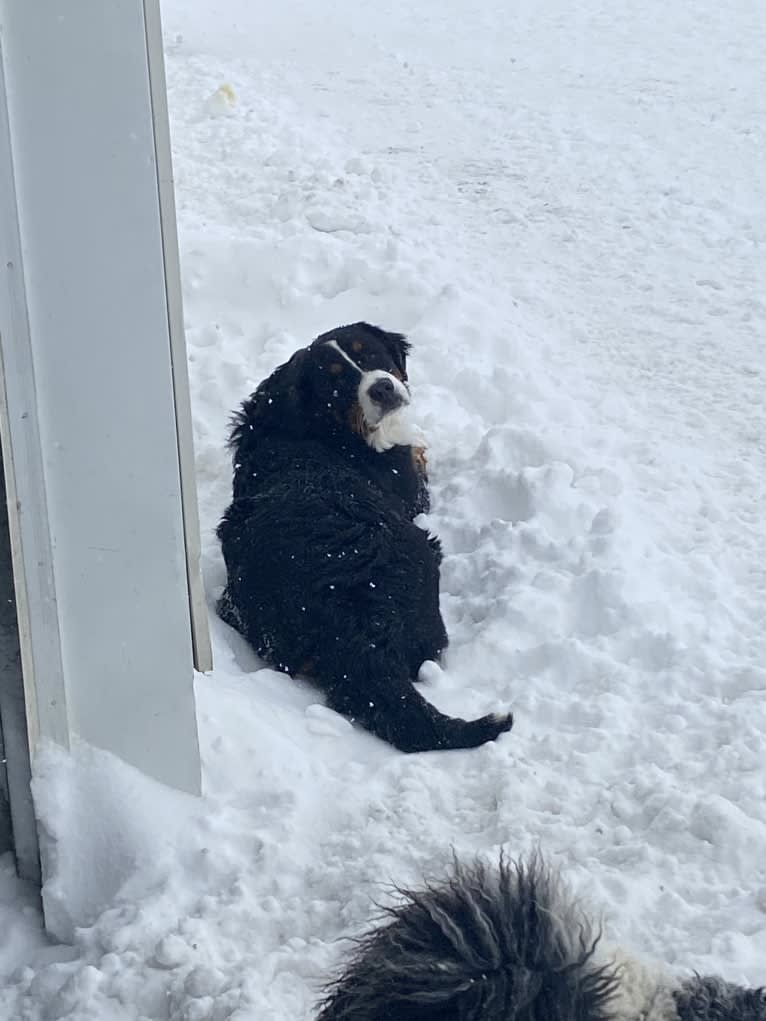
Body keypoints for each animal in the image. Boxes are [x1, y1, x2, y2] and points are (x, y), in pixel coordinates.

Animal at [216, 322, 516, 755]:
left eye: (370, 353)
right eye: (336, 381)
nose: (383, 389)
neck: (307, 426)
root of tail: (356, 621)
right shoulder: (411, 488)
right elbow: (417, 458)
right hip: (424, 553)